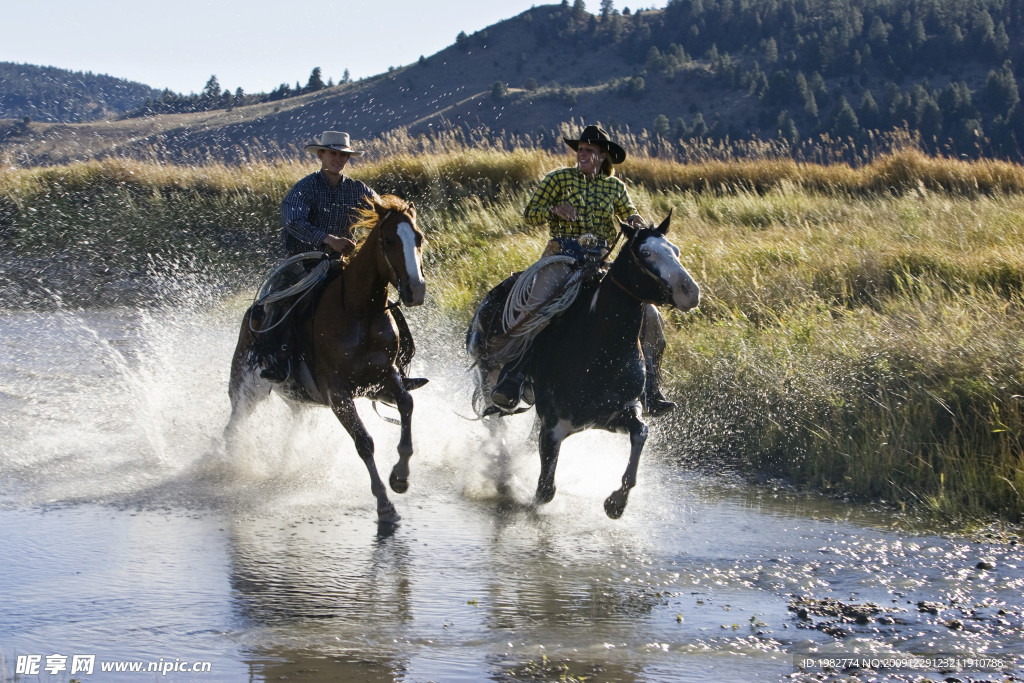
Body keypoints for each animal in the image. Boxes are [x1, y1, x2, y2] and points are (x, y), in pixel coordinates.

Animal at [226, 194, 425, 528]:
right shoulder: (338, 393)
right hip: (247, 387)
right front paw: (384, 505)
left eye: (418, 238)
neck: (358, 313)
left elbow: (407, 404)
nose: (415, 290)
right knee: (234, 424)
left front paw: (400, 477)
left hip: (298, 398)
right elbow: (364, 442)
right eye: (387, 240)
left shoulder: (382, 379)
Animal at [468, 216, 700, 520]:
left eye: (675, 250)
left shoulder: (617, 414)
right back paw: (503, 473)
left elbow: (641, 433)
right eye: (646, 252)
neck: (600, 353)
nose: (691, 292)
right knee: (498, 429)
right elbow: (545, 491)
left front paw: (616, 502)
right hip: (488, 382)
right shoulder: (555, 425)